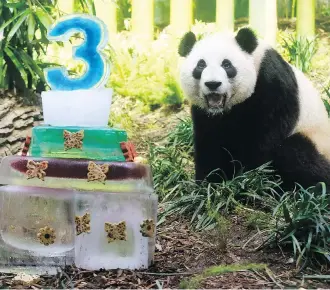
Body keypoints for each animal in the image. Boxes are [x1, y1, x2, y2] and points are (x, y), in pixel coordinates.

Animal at [178, 27, 330, 190]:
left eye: (227, 65)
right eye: (201, 65)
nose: (213, 84)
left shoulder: (272, 84)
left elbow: (265, 138)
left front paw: (246, 178)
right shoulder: (205, 114)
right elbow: (209, 143)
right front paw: (209, 183)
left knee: (297, 155)